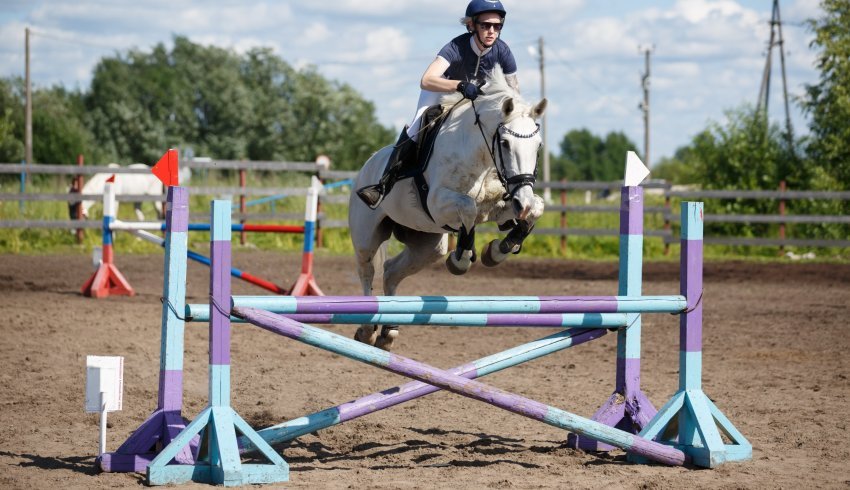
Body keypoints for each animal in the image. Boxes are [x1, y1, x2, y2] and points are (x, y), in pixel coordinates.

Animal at [348, 67, 548, 350]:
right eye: (505, 143)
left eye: (538, 145)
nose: (523, 202)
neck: (481, 157)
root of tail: (367, 165)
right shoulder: (438, 203)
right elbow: (469, 209)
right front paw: (462, 257)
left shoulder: (501, 204)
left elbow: (536, 209)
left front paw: (499, 250)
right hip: (366, 235)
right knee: (367, 271)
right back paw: (367, 330)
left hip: (428, 245)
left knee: (391, 272)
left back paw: (388, 331)